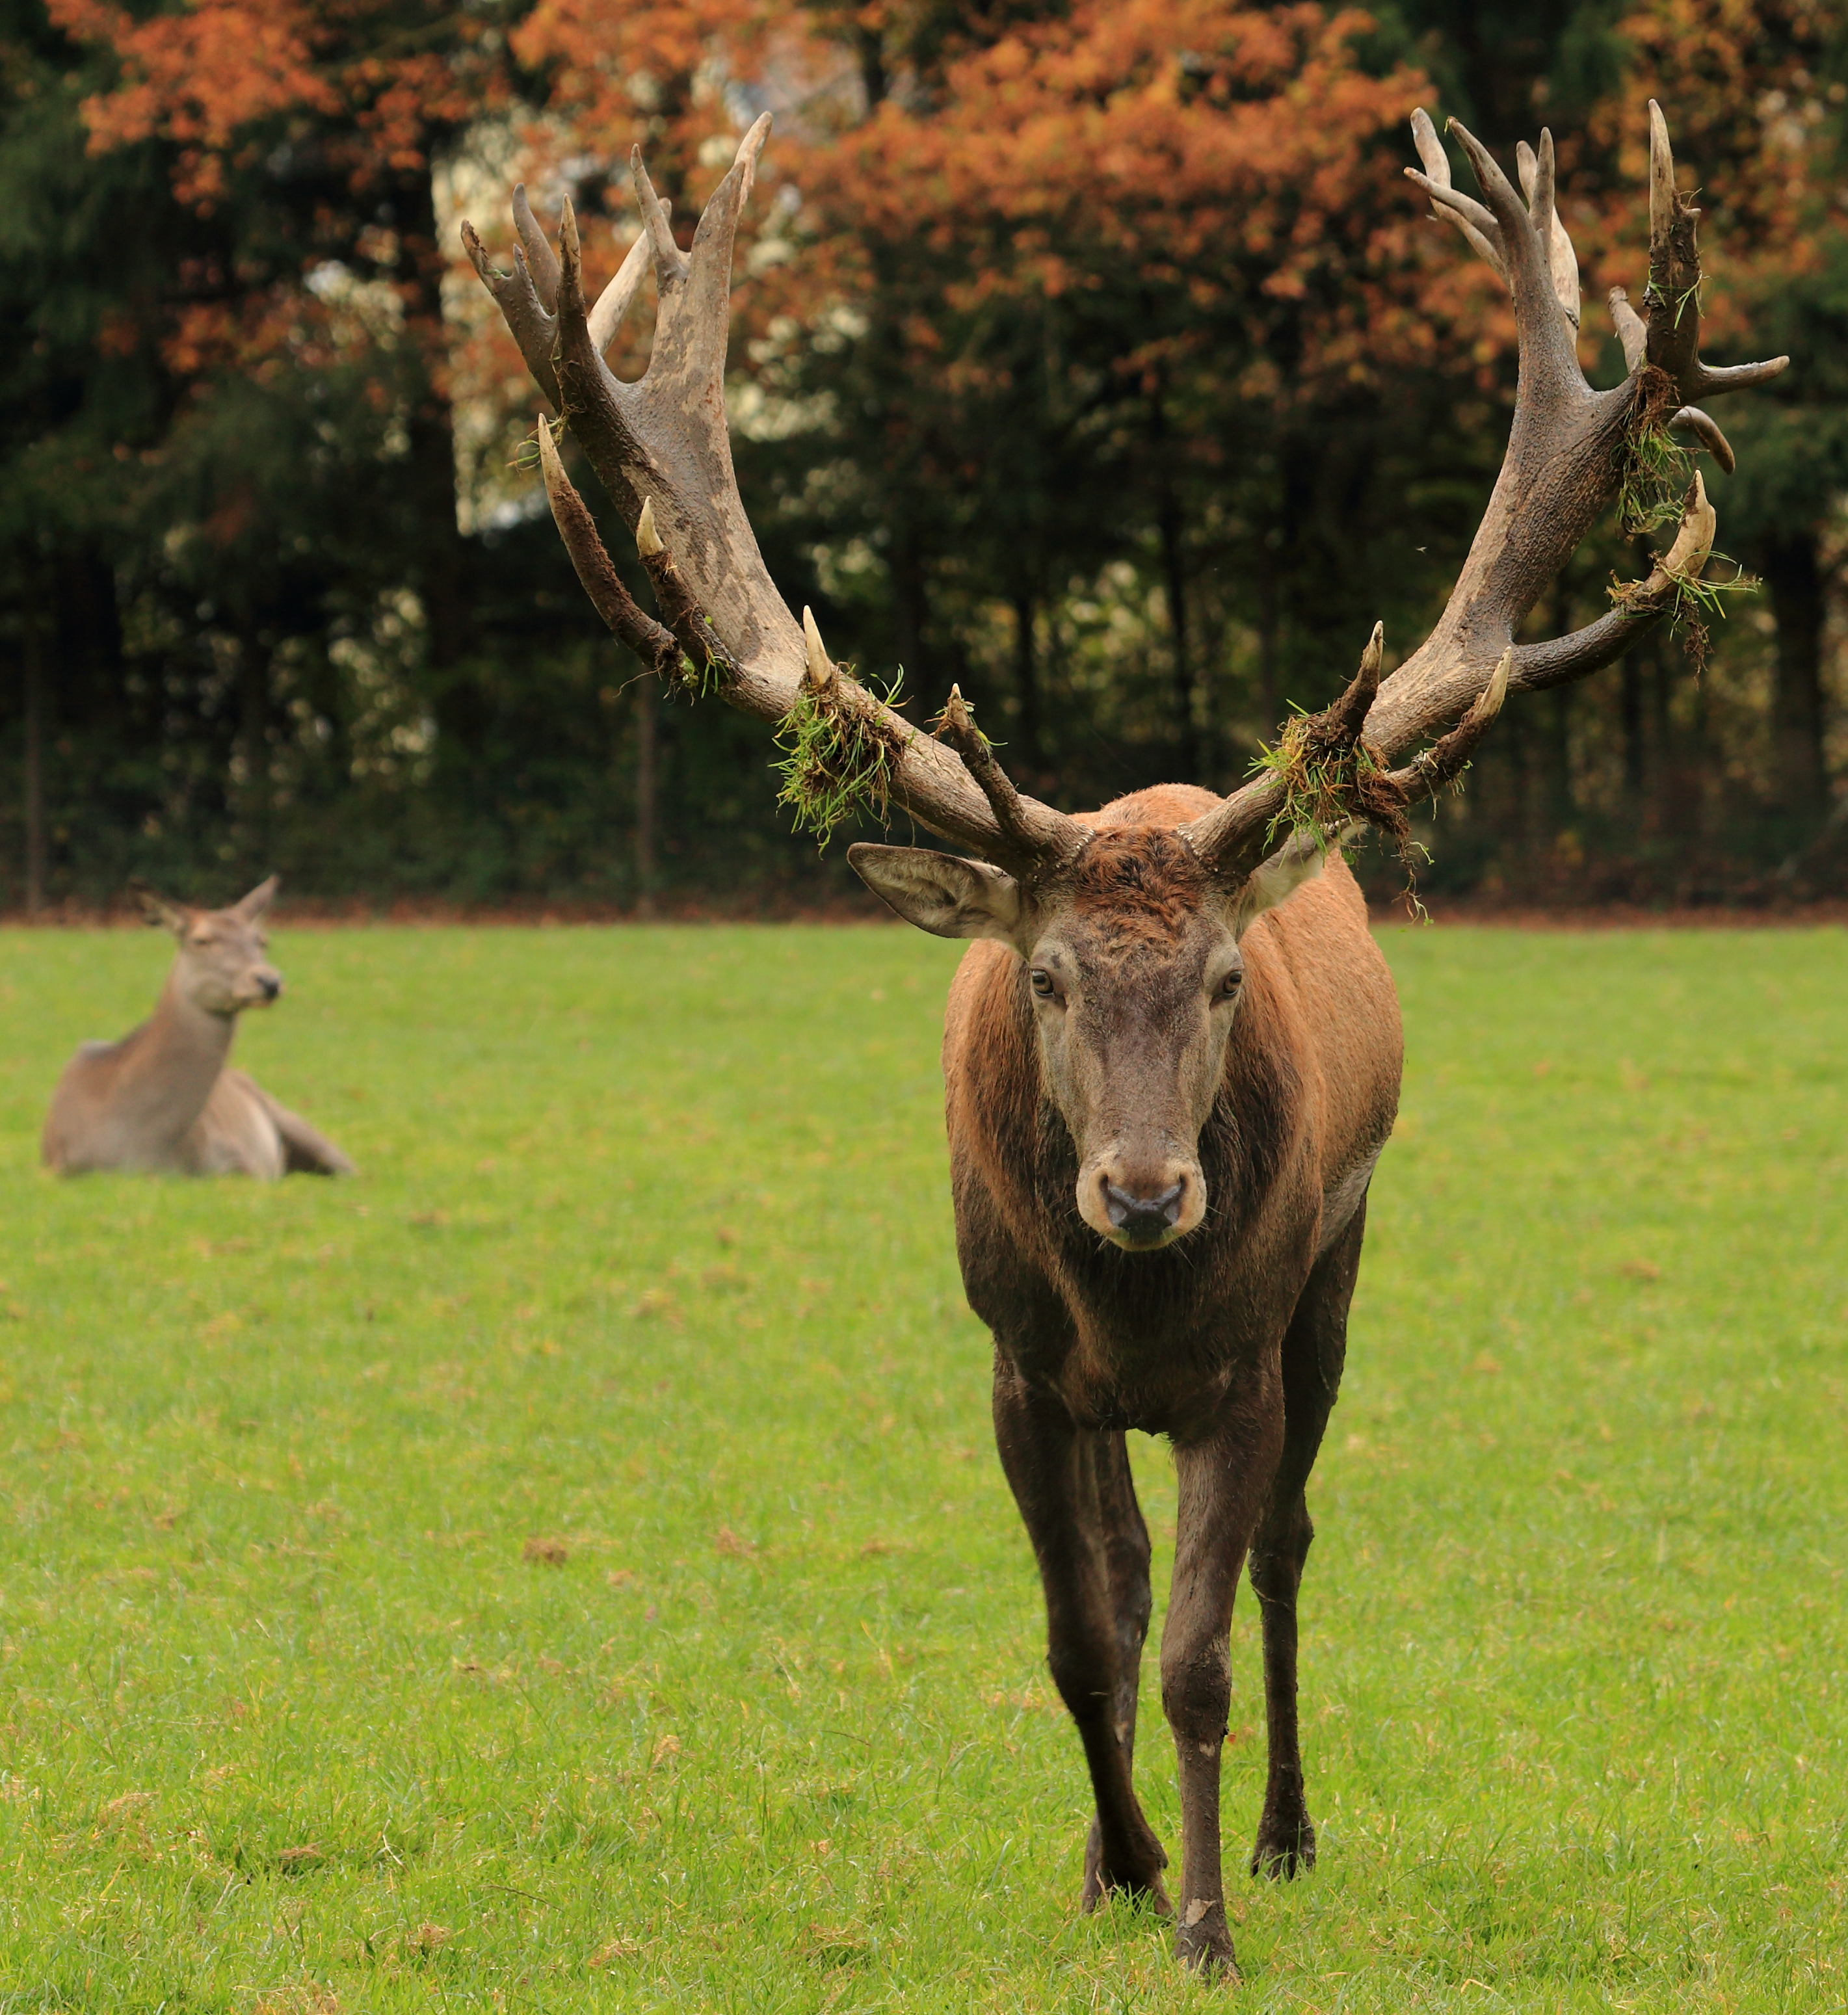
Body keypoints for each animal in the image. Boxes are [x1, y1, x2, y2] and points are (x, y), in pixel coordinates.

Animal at [463, 98, 1783, 1977]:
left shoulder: (1240, 1361)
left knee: (1291, 1546)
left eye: (1226, 979)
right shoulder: (1017, 1363)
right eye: (1045, 981)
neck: (1135, 1310)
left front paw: (1211, 1918)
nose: (1146, 1193)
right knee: (1131, 1559)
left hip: (1339, 1266)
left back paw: (1288, 1828)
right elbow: (1084, 1632)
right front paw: (1126, 1863)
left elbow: (1200, 1652)